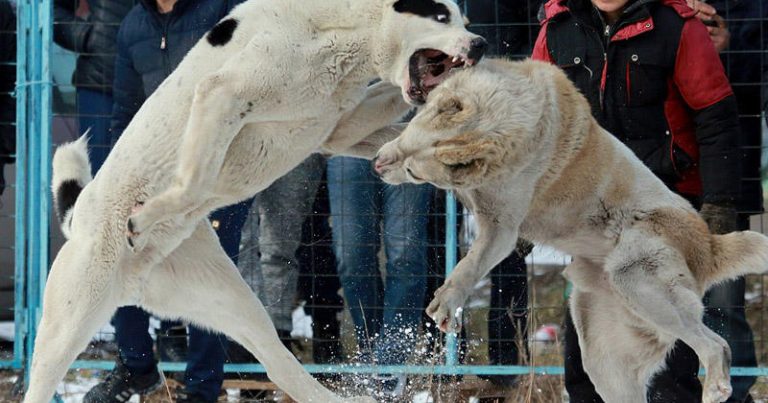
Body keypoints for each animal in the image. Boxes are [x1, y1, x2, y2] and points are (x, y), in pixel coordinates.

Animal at [30, 0, 488, 403]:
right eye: (441, 16)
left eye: (465, 20)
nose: (481, 44)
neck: (344, 30)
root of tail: (79, 219)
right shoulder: (223, 93)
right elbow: (196, 179)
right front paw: (146, 216)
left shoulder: (337, 129)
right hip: (68, 321)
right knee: (41, 379)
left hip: (232, 302)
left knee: (280, 367)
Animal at [376, 57, 768, 403]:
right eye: (409, 141)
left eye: (413, 172)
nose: (379, 165)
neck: (506, 122)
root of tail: (709, 246)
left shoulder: (500, 228)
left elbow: (469, 266)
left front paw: (447, 301)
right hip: (605, 353)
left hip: (638, 278)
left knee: (716, 344)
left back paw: (717, 385)